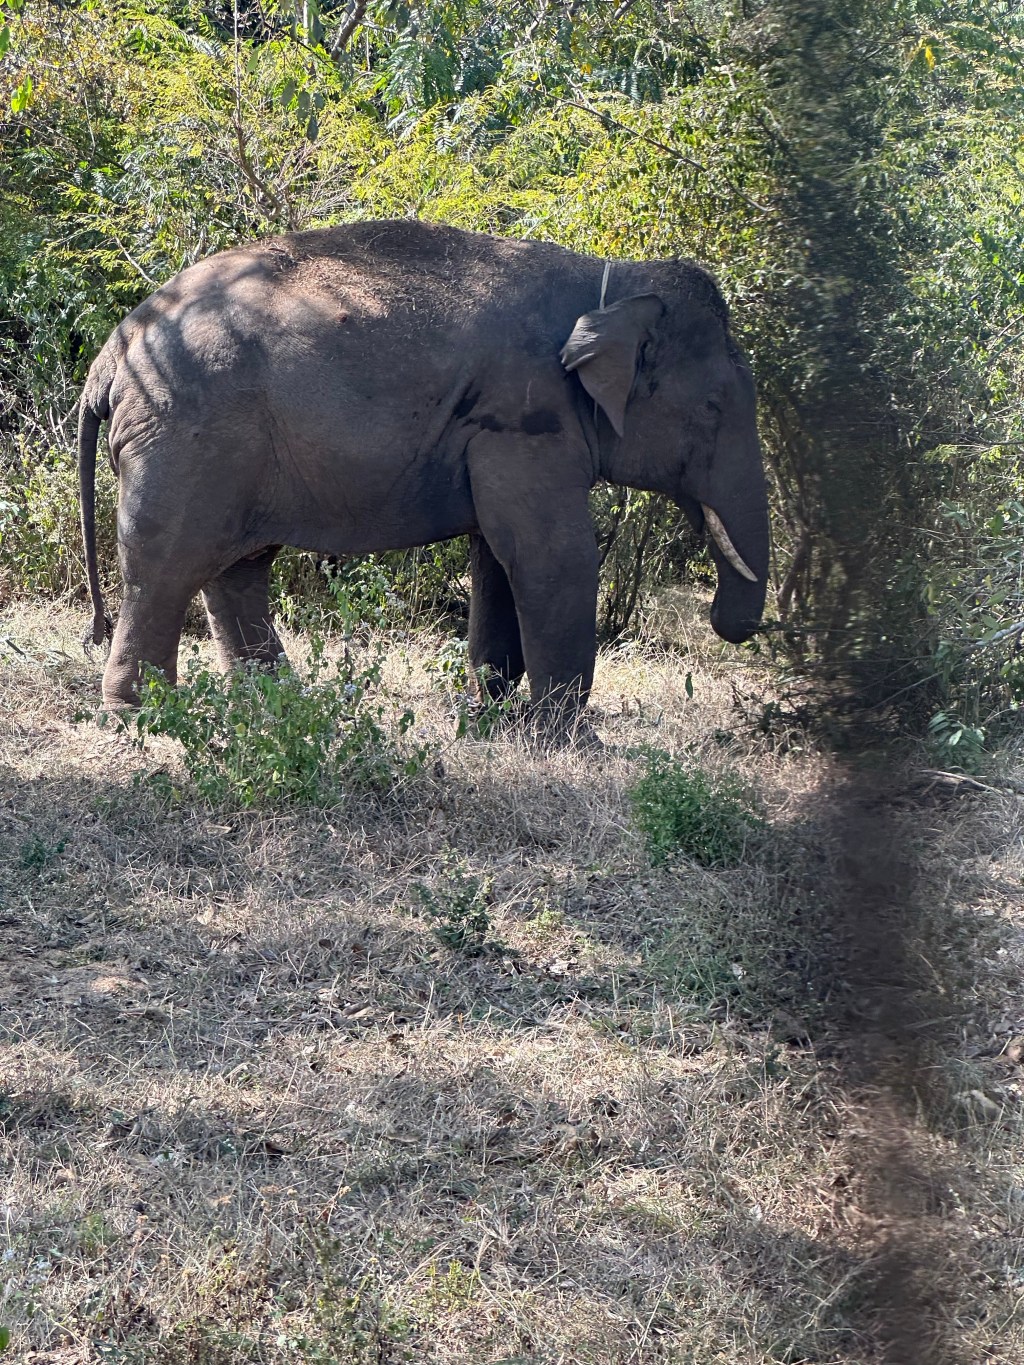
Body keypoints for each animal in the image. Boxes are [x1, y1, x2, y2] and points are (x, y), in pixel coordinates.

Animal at [78, 218, 769, 730]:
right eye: (713, 409)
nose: (727, 624)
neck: (613, 281)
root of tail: (108, 357)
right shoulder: (523, 420)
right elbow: (552, 555)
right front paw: (564, 734)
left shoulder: (505, 436)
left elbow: (498, 558)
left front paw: (488, 713)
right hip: (184, 436)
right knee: (165, 566)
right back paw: (144, 717)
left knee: (236, 568)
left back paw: (277, 705)